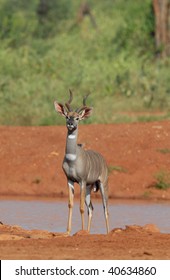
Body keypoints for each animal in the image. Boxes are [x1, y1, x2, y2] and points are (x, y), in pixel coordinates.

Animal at [54, 90, 110, 234]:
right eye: (67, 116)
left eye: (77, 118)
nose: (71, 124)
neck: (72, 159)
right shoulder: (70, 180)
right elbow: (71, 204)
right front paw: (68, 231)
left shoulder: (82, 181)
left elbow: (81, 208)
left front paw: (81, 230)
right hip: (90, 187)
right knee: (92, 208)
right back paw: (89, 232)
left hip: (102, 184)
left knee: (105, 208)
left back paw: (108, 232)